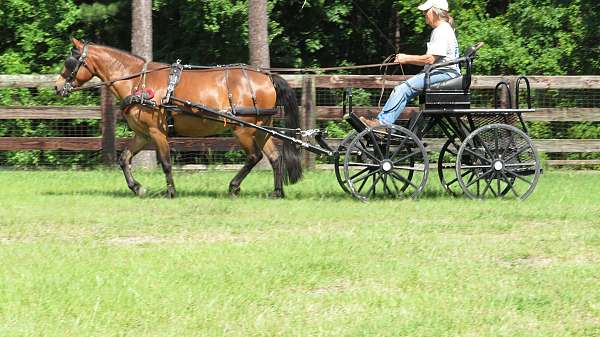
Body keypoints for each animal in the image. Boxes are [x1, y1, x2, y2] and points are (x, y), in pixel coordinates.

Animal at [54, 37, 302, 197]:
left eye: (70, 62)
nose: (57, 86)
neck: (136, 82)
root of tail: (267, 77)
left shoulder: (157, 132)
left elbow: (165, 162)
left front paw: (171, 191)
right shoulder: (143, 135)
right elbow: (124, 158)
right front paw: (138, 188)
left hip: (242, 129)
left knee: (254, 156)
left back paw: (233, 186)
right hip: (261, 128)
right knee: (274, 158)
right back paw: (277, 192)